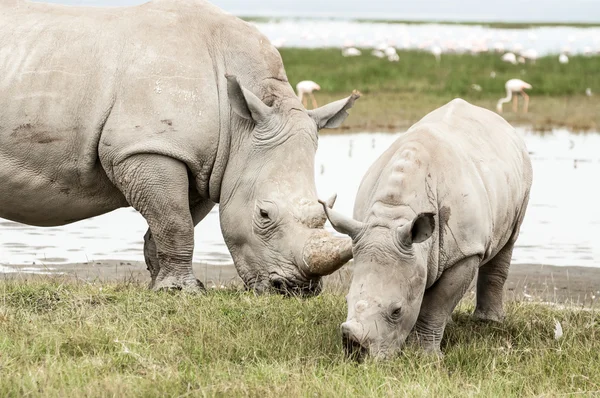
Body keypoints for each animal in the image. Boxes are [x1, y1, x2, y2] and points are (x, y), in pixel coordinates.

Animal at [0, 0, 358, 292]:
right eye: (264, 214)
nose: (297, 289)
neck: (240, 126)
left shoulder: (208, 165)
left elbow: (171, 223)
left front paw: (163, 287)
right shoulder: (148, 147)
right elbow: (176, 223)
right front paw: (182, 290)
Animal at [322, 98, 532, 358]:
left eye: (396, 311)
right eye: (346, 299)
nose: (355, 351)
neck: (394, 213)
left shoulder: (466, 251)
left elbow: (438, 303)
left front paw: (425, 356)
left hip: (523, 172)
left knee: (508, 241)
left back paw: (488, 322)